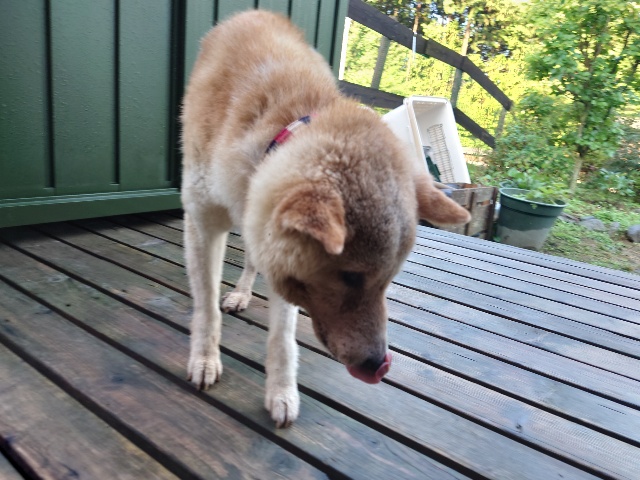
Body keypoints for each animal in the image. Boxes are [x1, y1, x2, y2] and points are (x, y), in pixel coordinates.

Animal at [181, 10, 470, 427]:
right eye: (350, 276)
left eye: (389, 279)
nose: (378, 364)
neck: (275, 126)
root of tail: (255, 12)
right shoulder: (203, 221)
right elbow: (205, 308)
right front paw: (204, 358)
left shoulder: (281, 257)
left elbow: (282, 337)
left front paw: (282, 391)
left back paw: (242, 292)